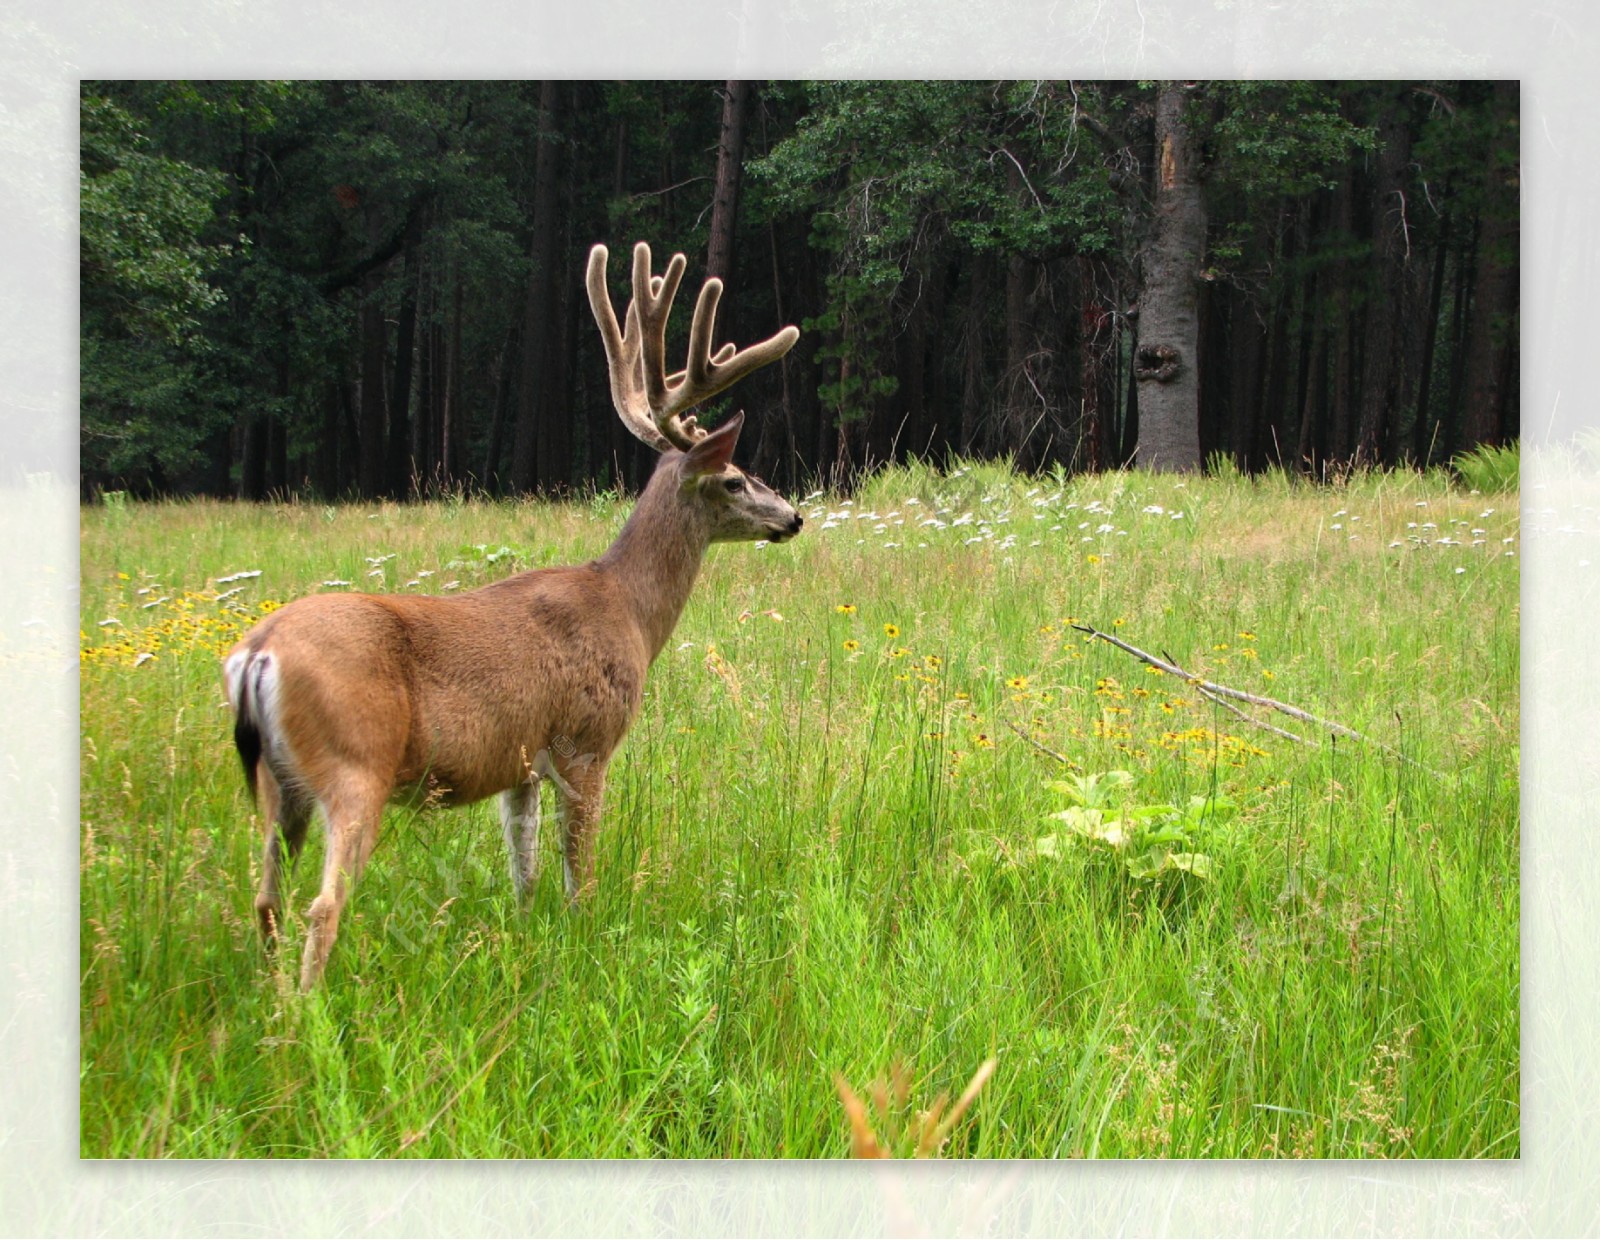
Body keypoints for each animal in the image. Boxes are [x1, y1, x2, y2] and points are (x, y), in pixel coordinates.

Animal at [222, 243, 800, 992]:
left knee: (266, 898)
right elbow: (578, 874)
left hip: (278, 780)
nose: (793, 515)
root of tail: (258, 650)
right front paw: (583, 947)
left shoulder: (519, 764)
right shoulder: (585, 742)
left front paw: (526, 943)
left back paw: (271, 1001)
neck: (630, 611)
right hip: (356, 763)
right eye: (734, 478)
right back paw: (307, 1013)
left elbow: (522, 873)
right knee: (323, 906)